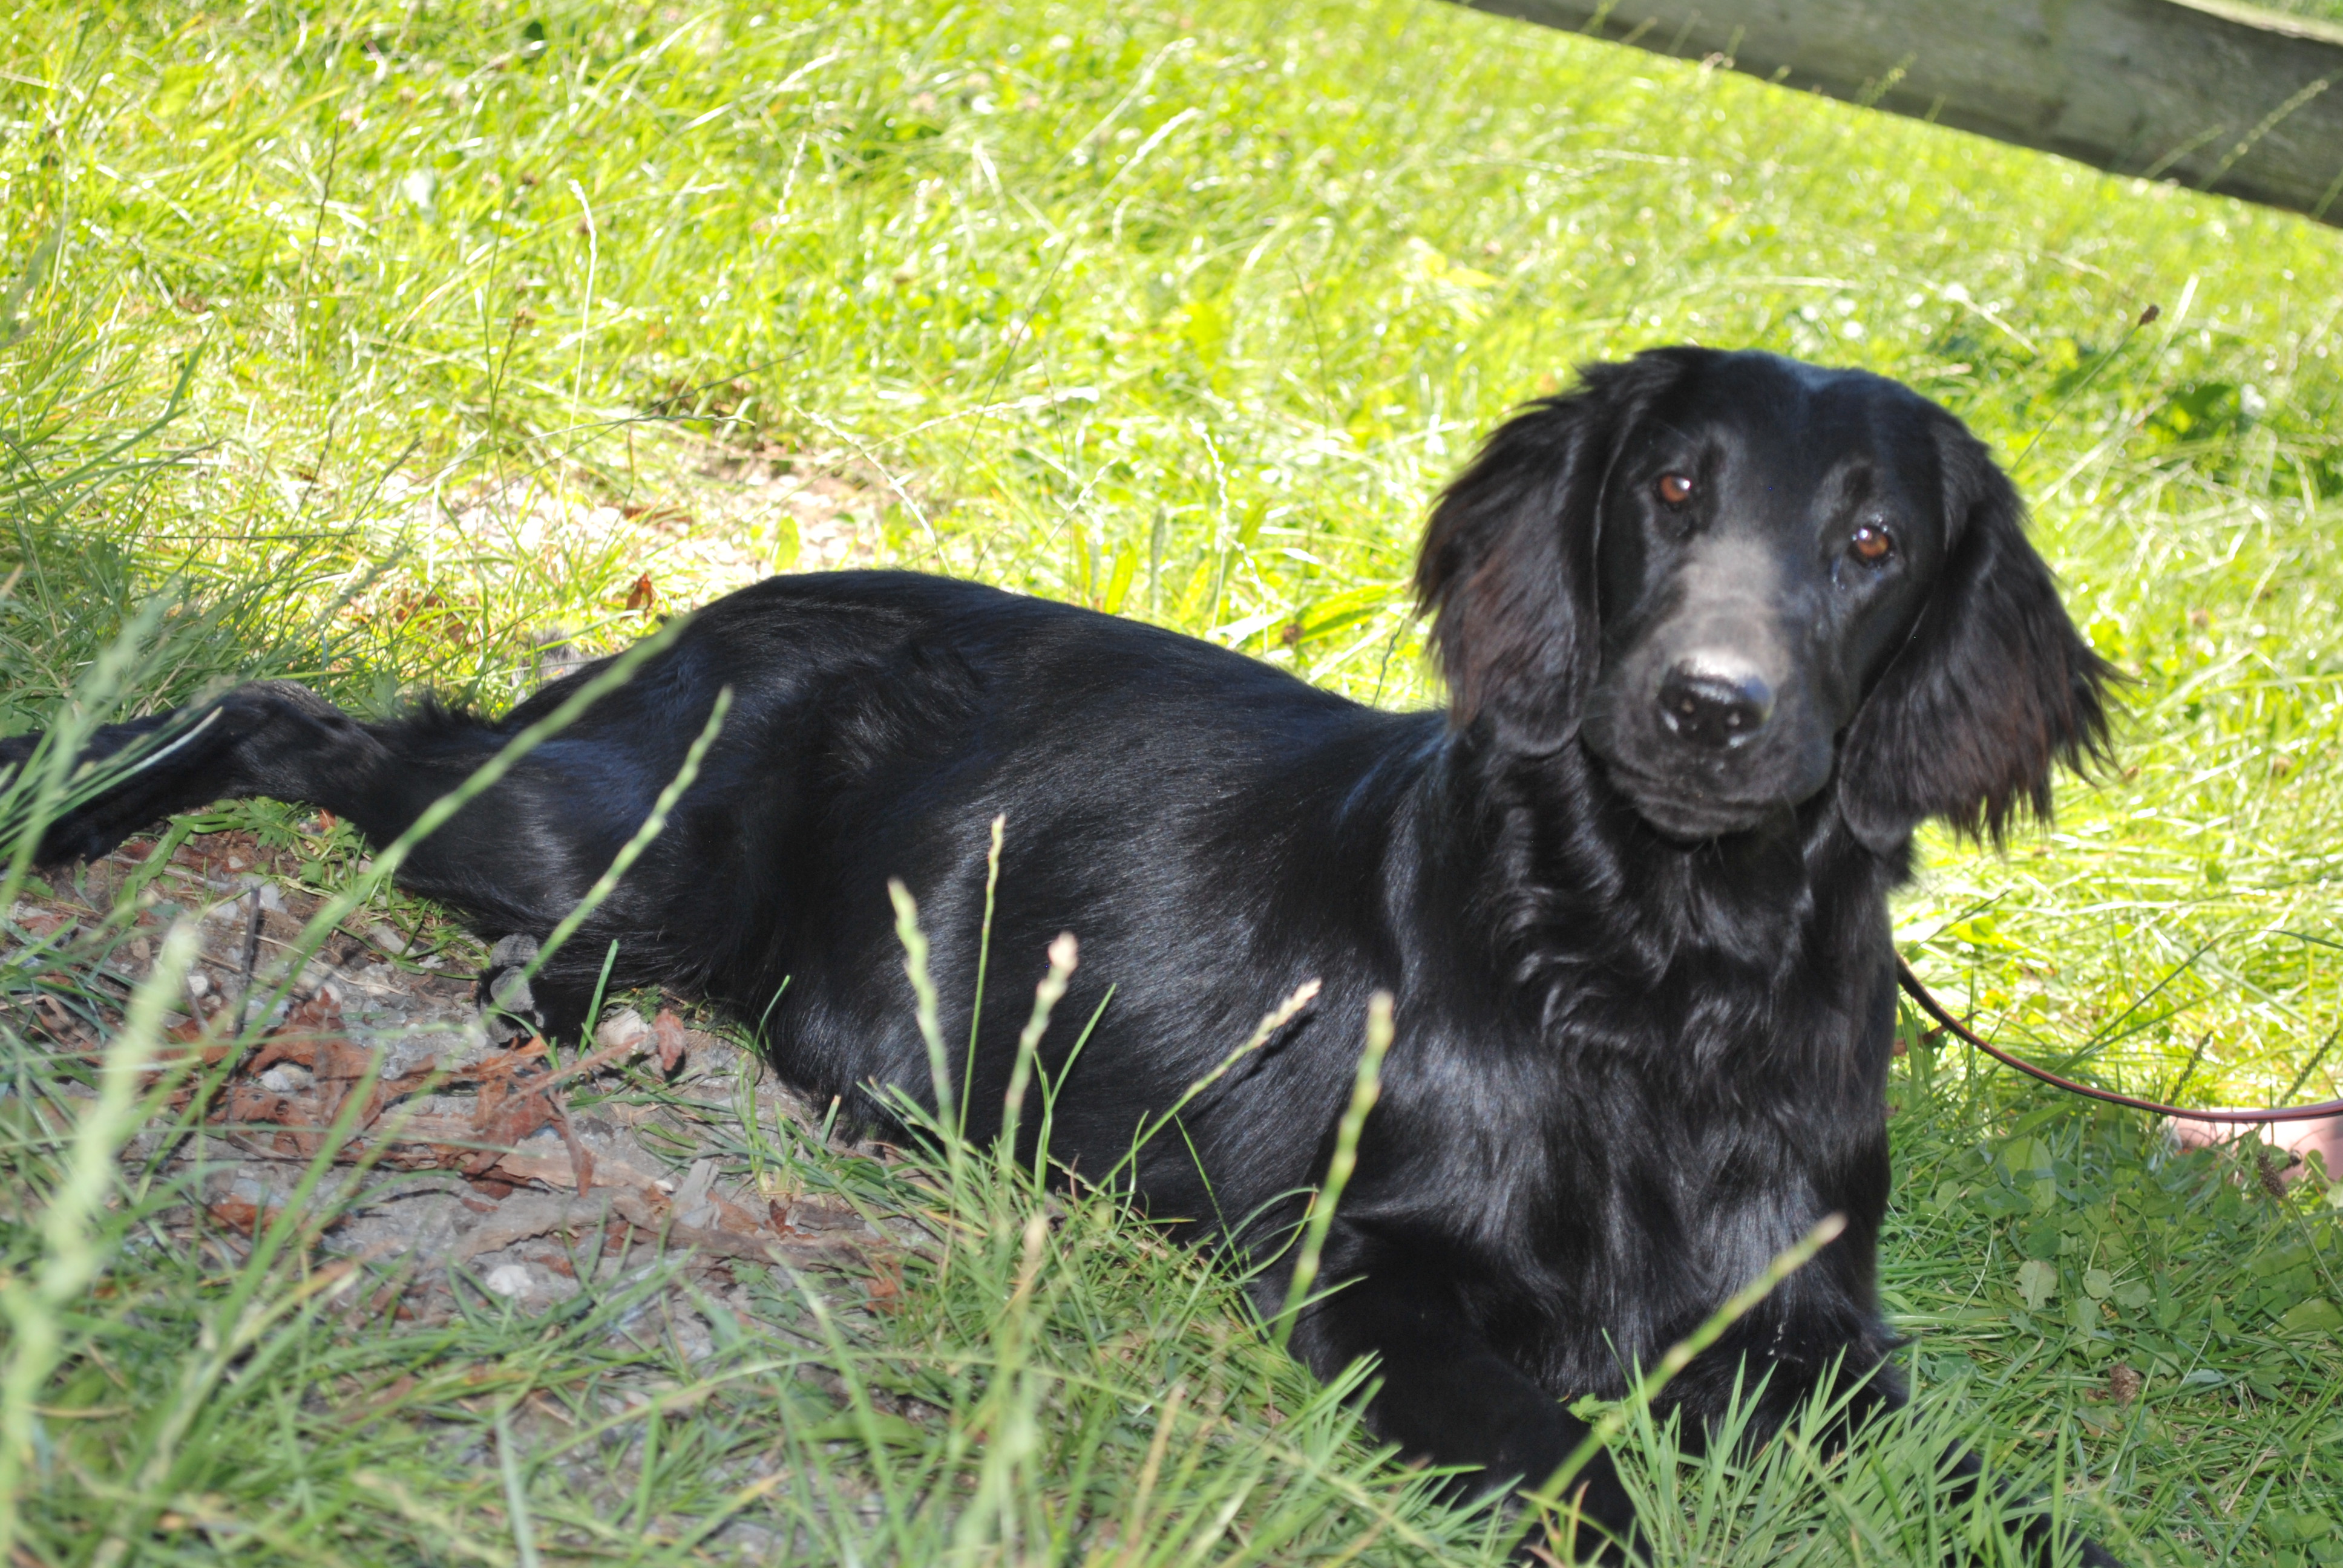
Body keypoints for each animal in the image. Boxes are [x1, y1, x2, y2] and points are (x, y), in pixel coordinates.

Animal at [4, 349, 2127, 1556]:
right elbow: (1572, 1474)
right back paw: (69, 813)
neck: (1660, 983)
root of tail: (721, 603)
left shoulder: (1820, 1342)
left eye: (1873, 545)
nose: (1710, 708)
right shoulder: (1376, 1272)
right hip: (616, 830)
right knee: (277, 715)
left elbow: (2019, 1508)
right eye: (1674, 488)